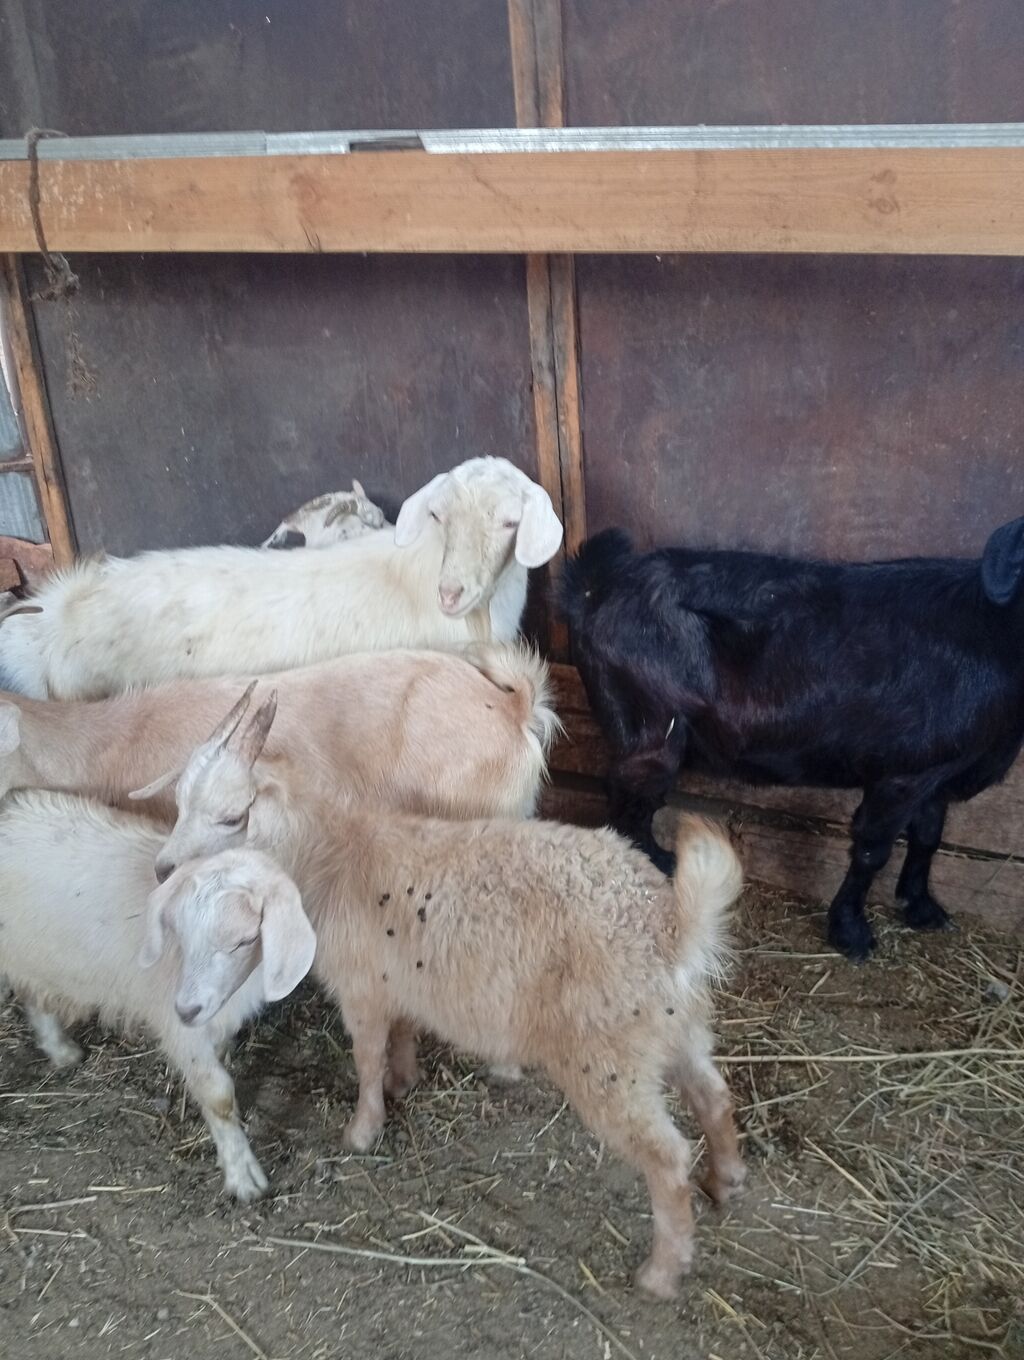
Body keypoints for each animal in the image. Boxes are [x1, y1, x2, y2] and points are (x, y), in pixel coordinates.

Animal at [0, 790, 315, 1199]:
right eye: (177, 929)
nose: (187, 1009)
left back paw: (60, 1049)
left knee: (34, 994)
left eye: (245, 939)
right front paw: (242, 1174)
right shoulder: (179, 1027)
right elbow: (218, 1095)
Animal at [154, 695, 745, 1297]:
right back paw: (726, 1180)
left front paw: (362, 1130)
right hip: (677, 1028)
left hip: (608, 1059)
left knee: (667, 1155)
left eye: (232, 816)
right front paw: (403, 1081)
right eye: (180, 802)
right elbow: (402, 1035)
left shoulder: (361, 990)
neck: (332, 851)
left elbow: (366, 1059)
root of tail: (673, 926)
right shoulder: (399, 984)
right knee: (714, 1096)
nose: (163, 868)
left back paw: (661, 1271)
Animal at [559, 520, 1024, 961]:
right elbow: (873, 849)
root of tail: (593, 586)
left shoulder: (939, 772)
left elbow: (928, 838)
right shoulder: (899, 777)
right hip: (652, 729)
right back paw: (651, 867)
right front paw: (851, 933)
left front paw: (923, 908)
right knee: (628, 797)